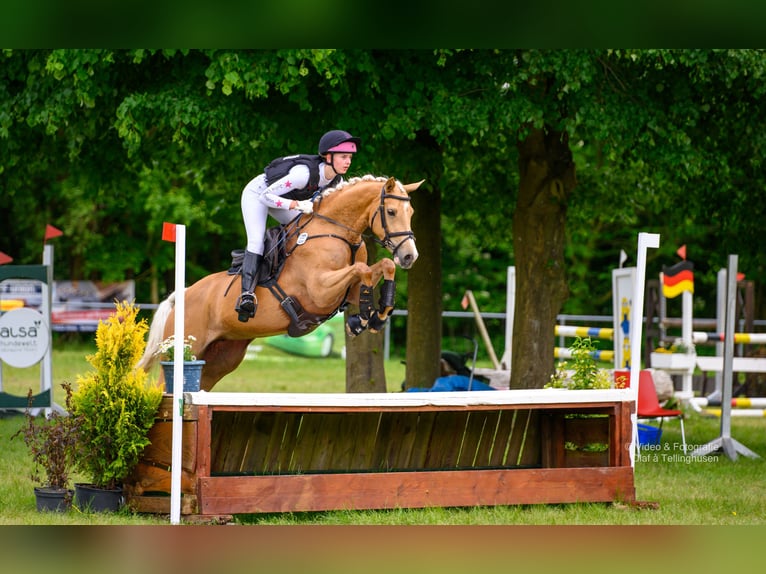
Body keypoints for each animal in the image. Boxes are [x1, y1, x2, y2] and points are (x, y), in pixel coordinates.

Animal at [138, 176, 426, 392]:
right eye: (391, 212)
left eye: (411, 212)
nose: (409, 256)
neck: (339, 232)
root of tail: (181, 295)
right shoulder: (320, 291)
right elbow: (361, 269)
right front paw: (363, 318)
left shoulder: (347, 292)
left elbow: (382, 267)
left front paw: (376, 315)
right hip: (183, 350)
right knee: (163, 387)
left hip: (219, 358)